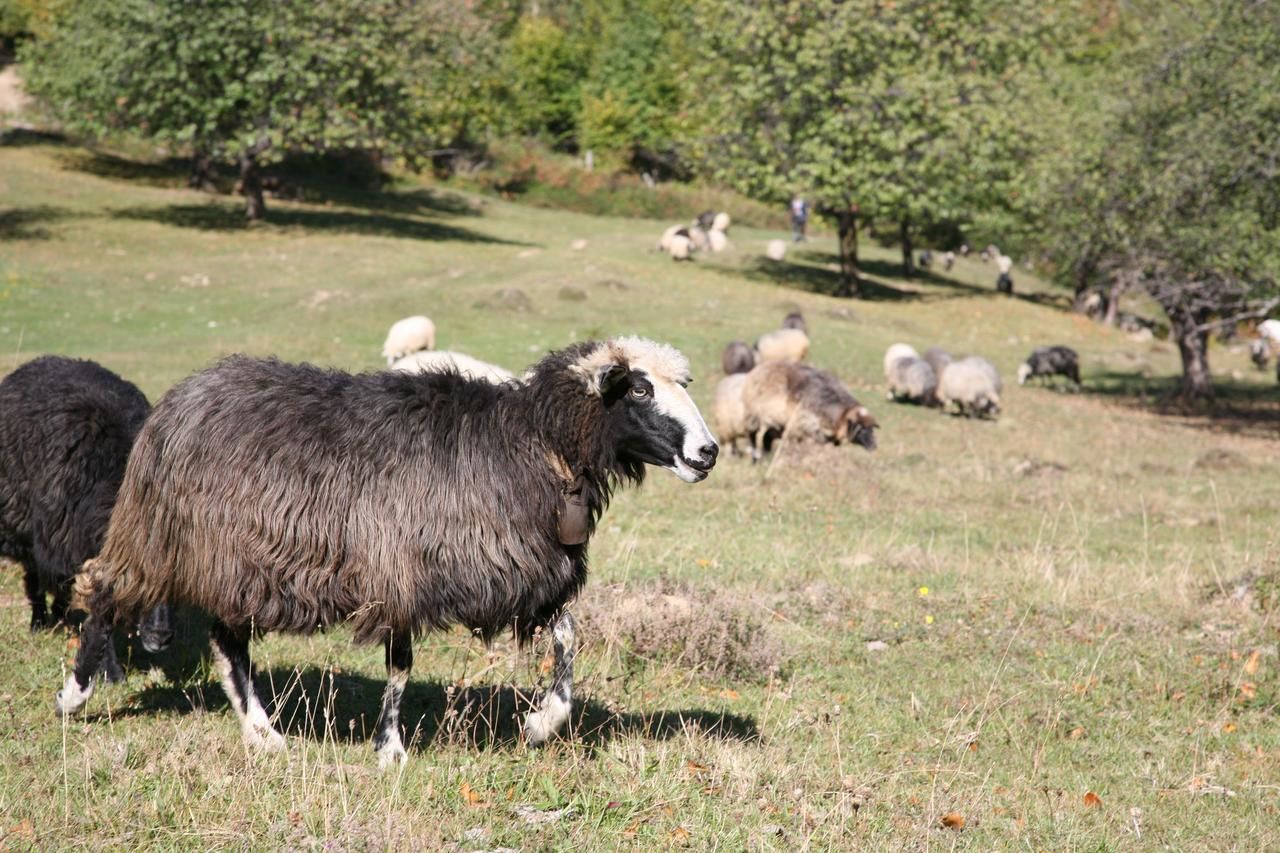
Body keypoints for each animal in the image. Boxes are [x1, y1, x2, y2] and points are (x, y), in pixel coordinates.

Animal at [0, 356, 171, 676]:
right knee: (35, 576)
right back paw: (39, 621)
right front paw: (110, 671)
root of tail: (46, 359)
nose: (161, 637)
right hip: (25, 531)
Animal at [57, 338, 721, 763]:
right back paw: (74, 694)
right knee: (104, 590)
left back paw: (262, 733)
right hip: (157, 537)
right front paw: (391, 749)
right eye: (639, 388)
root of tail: (189, 390)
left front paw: (540, 725)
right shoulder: (401, 572)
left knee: (229, 641)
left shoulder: (522, 576)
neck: (530, 444)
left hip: (234, 563)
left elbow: (568, 638)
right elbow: (400, 667)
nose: (708, 452)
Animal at [742, 361, 880, 461]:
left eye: (871, 429)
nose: (874, 446)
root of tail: (757, 370)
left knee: (766, 438)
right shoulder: (805, 431)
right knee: (754, 437)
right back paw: (756, 458)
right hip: (756, 418)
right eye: (860, 429)